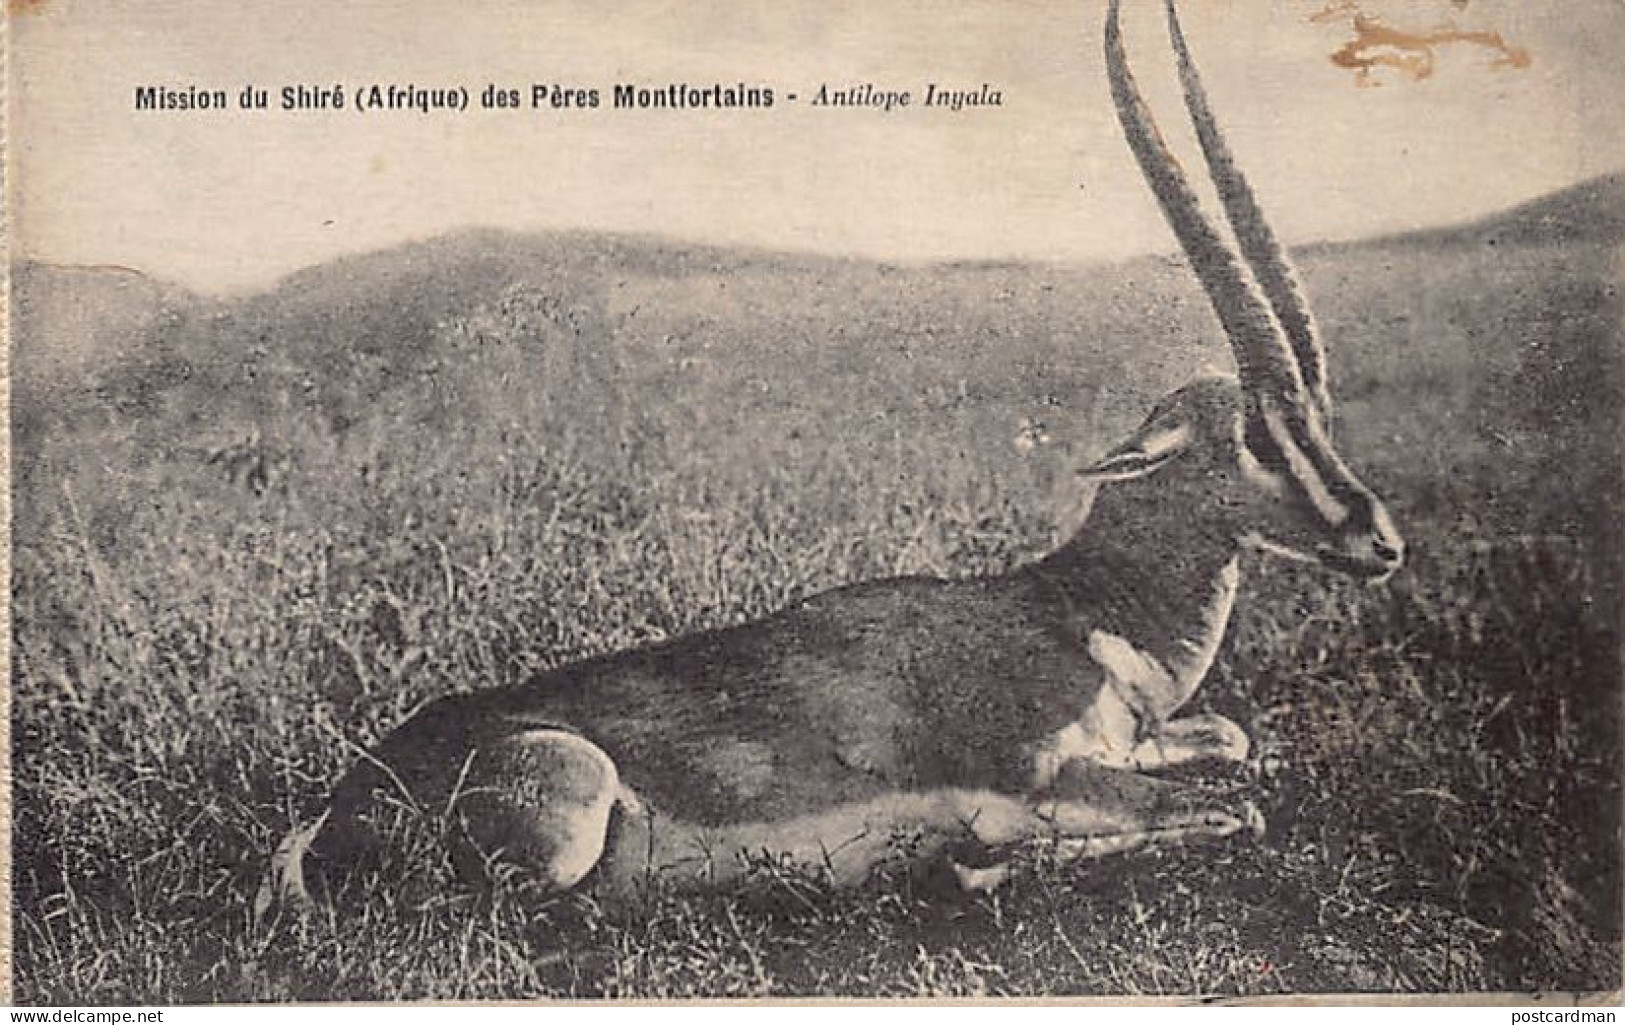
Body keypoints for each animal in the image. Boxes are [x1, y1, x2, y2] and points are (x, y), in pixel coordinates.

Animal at [264, 0, 1403, 910]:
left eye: (1316, 415)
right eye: (1252, 435)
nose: (1377, 540)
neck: (1072, 611)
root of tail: (331, 814)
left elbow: (1234, 744)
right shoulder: (1044, 780)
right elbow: (1233, 808)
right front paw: (969, 860)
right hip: (567, 822)